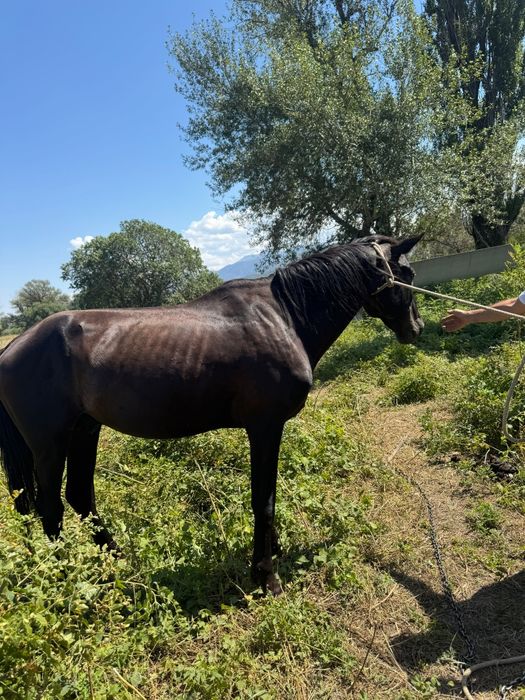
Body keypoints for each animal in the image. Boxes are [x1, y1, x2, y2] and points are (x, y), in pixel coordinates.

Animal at [0, 234, 423, 595]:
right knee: (51, 508)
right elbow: (263, 499)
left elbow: (268, 494)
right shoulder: (265, 427)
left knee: (80, 498)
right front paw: (266, 575)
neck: (284, 317)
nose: (415, 329)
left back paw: (117, 563)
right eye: (409, 274)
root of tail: (12, 347)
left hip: (85, 430)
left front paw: (273, 552)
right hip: (50, 443)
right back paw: (67, 576)